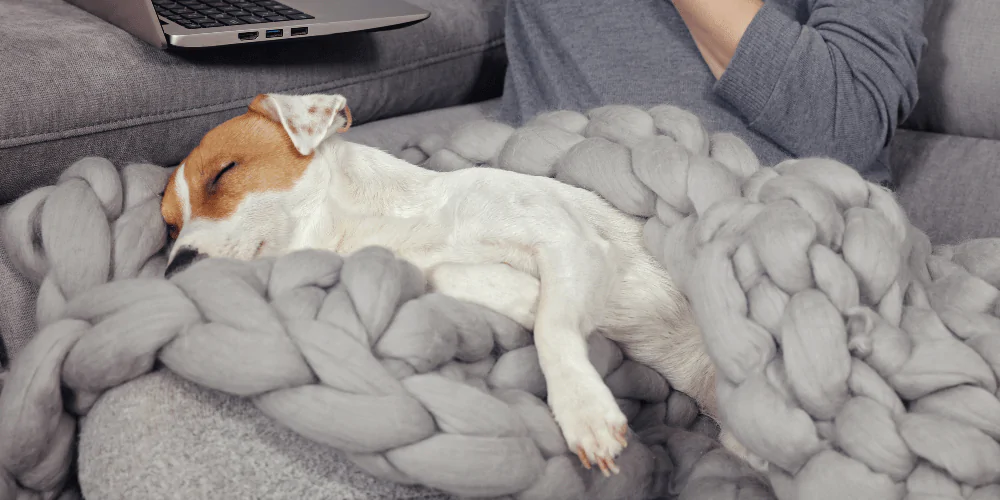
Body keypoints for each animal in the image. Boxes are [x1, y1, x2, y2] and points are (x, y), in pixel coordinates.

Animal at [160, 94, 732, 476]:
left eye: (223, 172)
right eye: (168, 225)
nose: (173, 269)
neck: (391, 220)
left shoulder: (568, 239)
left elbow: (553, 329)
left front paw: (583, 409)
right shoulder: (466, 259)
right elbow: (468, 279)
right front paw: (532, 301)